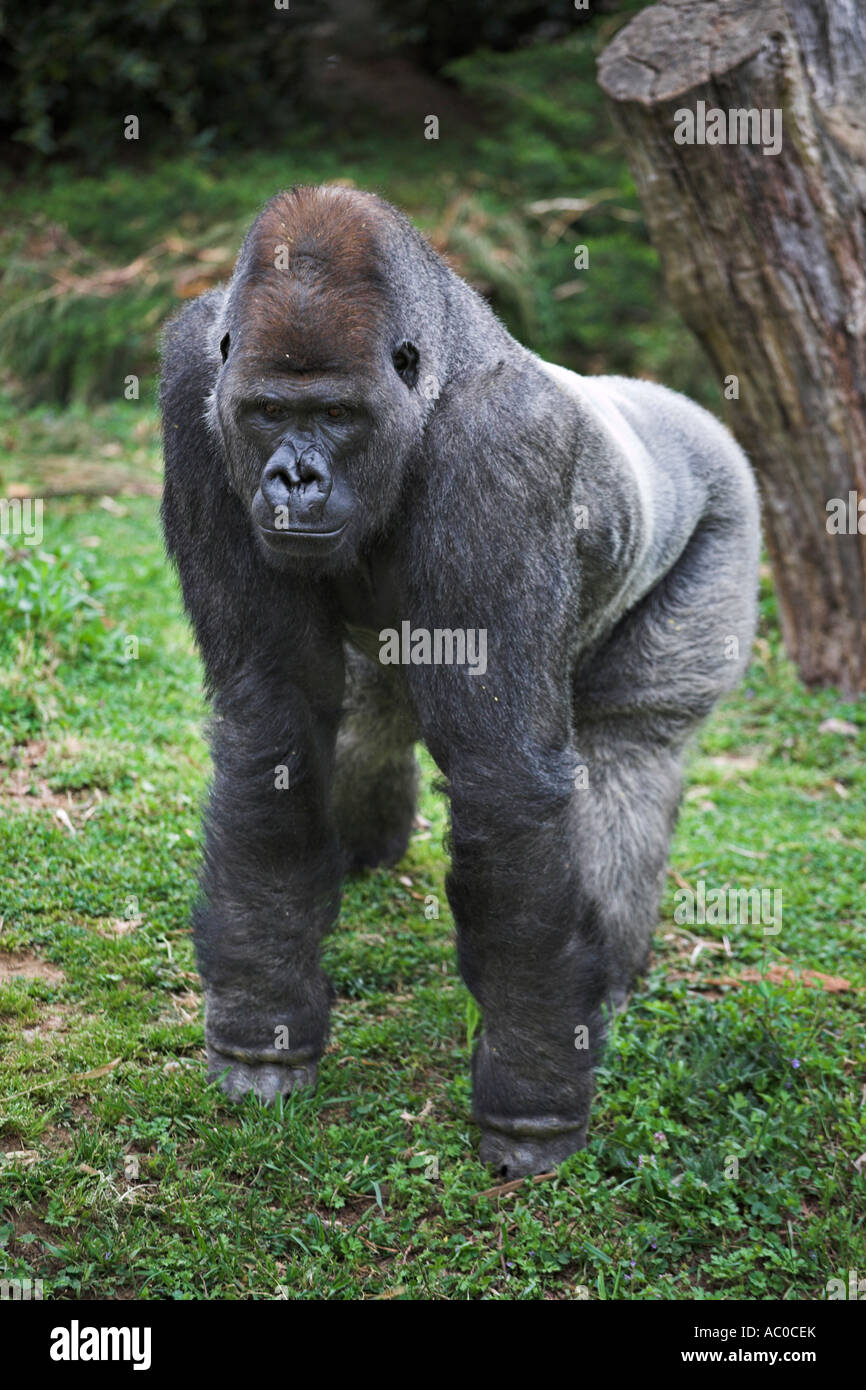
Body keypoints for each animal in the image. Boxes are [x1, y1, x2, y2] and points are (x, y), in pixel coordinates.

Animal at [161, 184, 756, 1178]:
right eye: (269, 412)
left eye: (338, 416)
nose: (294, 478)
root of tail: (690, 412)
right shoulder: (190, 391)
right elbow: (271, 721)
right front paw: (261, 1029)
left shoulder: (500, 449)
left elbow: (505, 781)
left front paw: (532, 1098)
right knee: (370, 715)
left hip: (727, 515)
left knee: (634, 754)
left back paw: (608, 977)